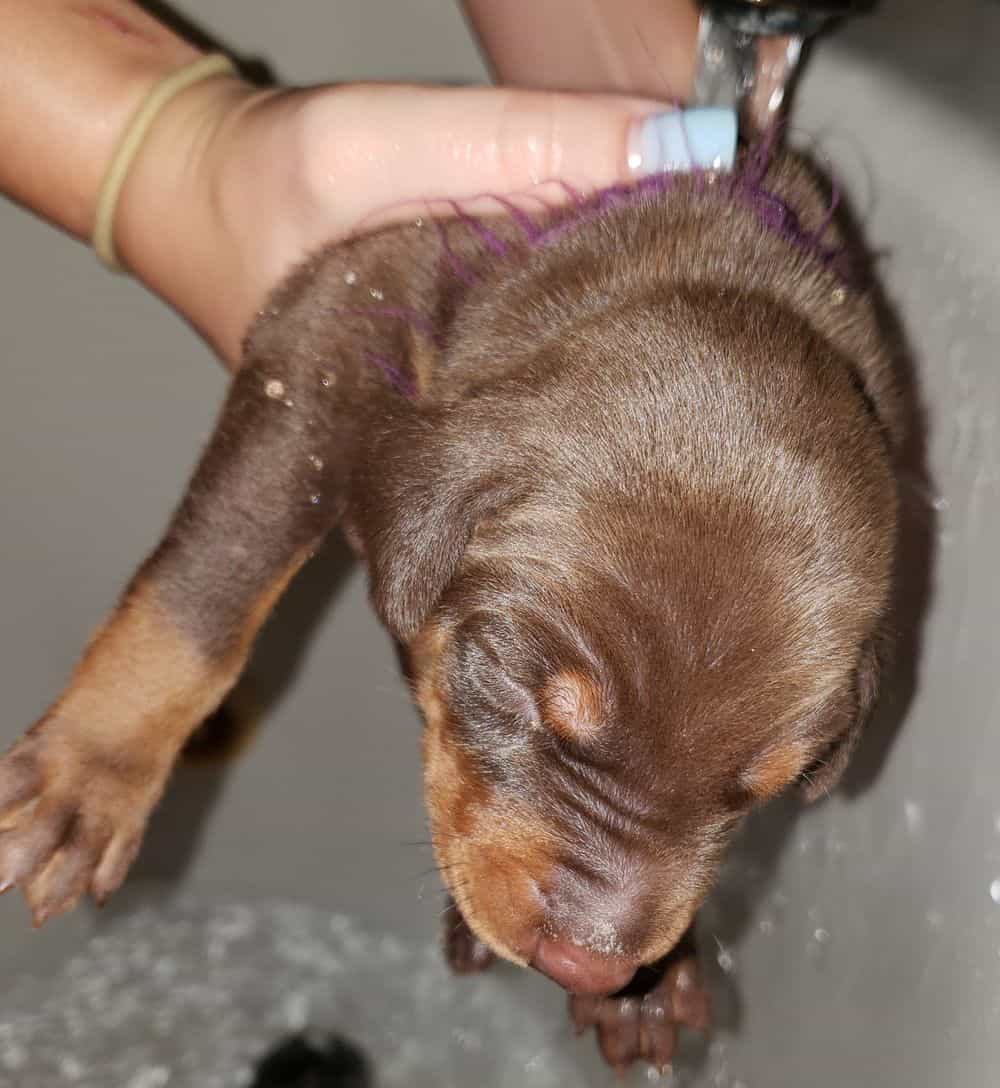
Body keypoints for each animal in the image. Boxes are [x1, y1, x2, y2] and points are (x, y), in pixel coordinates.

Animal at [0, 149, 900, 1074]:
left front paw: (649, 987)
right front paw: (91, 773)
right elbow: (226, 558)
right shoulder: (335, 322)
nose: (590, 962)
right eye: (520, 691)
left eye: (768, 791)